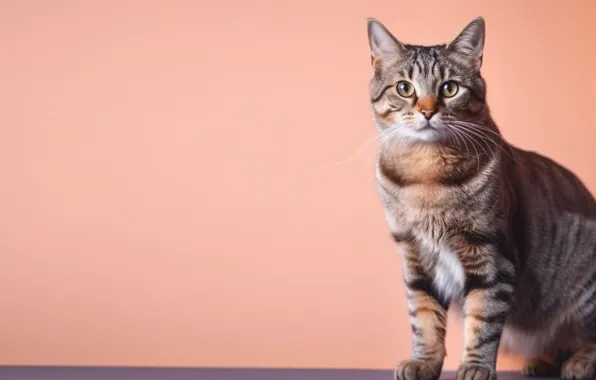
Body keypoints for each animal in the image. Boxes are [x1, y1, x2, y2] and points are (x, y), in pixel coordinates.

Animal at [366, 16, 596, 380]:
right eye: (405, 88)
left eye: (449, 88)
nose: (427, 111)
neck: (426, 176)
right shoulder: (415, 257)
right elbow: (423, 318)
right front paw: (424, 361)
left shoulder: (490, 255)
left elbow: (483, 321)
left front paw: (475, 367)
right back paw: (540, 363)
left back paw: (579, 362)